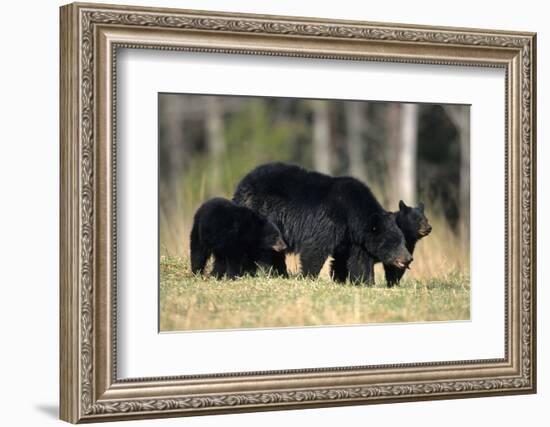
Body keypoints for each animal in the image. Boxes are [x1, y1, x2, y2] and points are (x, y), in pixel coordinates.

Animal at [234, 162, 414, 282]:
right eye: (394, 242)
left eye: (403, 241)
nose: (408, 258)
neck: (353, 216)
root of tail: (242, 184)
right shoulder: (330, 220)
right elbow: (315, 247)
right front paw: (308, 276)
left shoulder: (354, 238)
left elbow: (358, 259)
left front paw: (364, 281)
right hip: (262, 212)